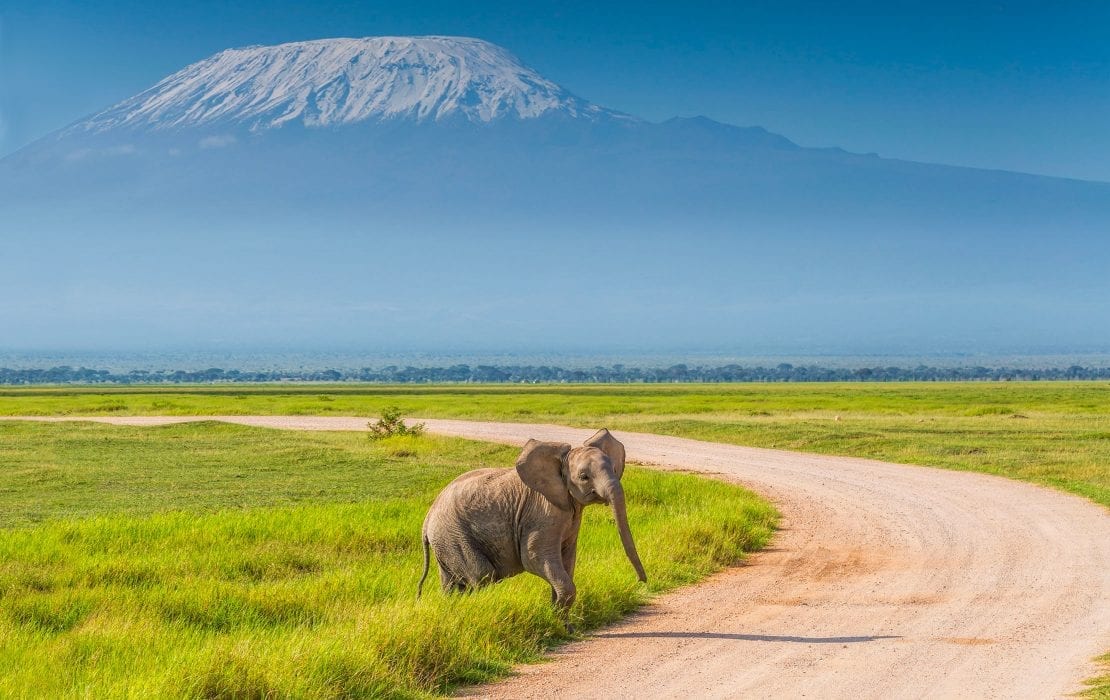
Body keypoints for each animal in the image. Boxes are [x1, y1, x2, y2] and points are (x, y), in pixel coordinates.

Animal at [417, 428, 648, 616]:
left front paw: (562, 623)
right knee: (482, 576)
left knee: (452, 584)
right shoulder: (541, 512)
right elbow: (534, 557)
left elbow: (567, 560)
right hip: (454, 536)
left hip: (446, 542)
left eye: (614, 469)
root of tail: (427, 519)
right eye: (584, 477)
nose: (640, 582)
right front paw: (556, 621)